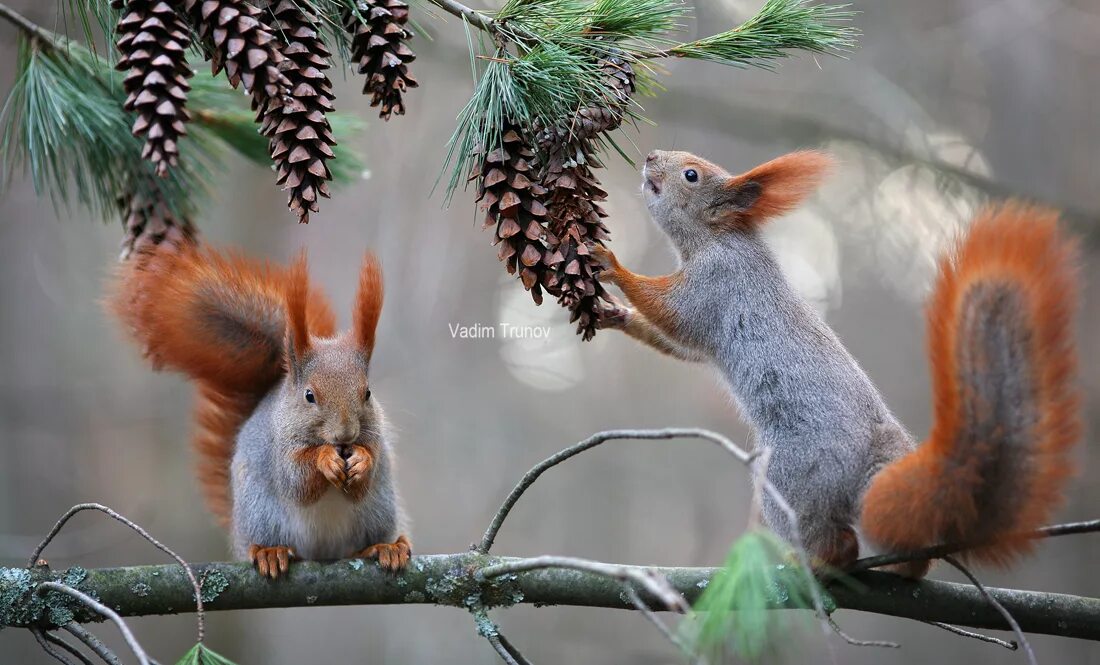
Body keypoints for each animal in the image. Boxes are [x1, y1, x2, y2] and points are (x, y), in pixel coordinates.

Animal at [109, 236, 411, 580]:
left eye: (367, 393)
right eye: (309, 396)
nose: (346, 435)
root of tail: (322, 552)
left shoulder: (374, 439)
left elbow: (365, 476)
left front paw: (361, 460)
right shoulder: (280, 448)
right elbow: (297, 480)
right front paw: (324, 459)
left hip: (378, 511)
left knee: (363, 542)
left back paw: (386, 547)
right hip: (262, 513)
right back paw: (270, 552)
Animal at [594, 150, 1082, 575]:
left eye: (691, 174)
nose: (650, 156)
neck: (715, 240)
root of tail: (872, 464)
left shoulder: (717, 283)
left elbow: (672, 314)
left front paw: (610, 263)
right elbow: (678, 344)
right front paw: (615, 315)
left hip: (791, 480)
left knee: (837, 542)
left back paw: (814, 562)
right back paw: (905, 568)